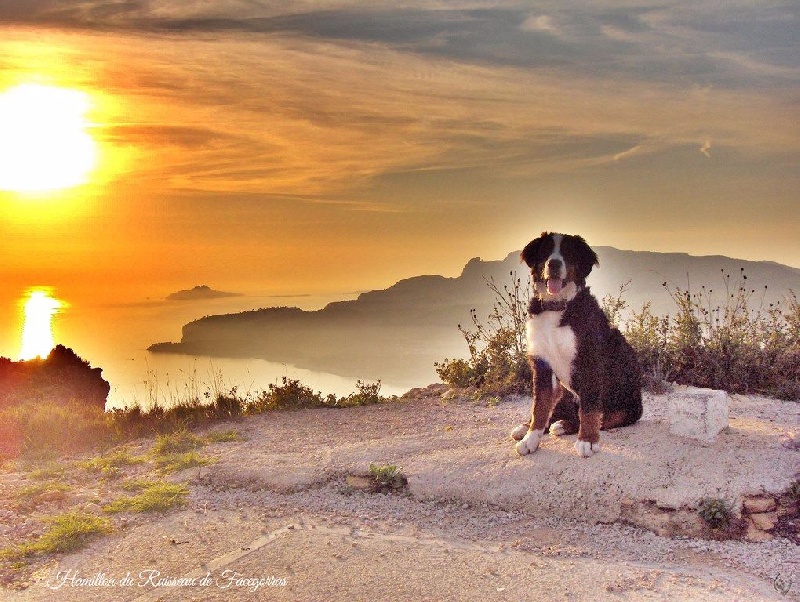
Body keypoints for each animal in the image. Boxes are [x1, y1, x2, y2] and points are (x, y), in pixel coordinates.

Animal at [512, 230, 644, 454]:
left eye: (568, 252)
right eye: (546, 251)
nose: (554, 264)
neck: (556, 307)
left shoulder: (589, 361)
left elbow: (589, 408)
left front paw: (587, 440)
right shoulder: (542, 364)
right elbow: (539, 407)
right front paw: (531, 439)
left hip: (627, 405)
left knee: (604, 416)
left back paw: (567, 426)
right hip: (565, 391)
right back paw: (536, 426)